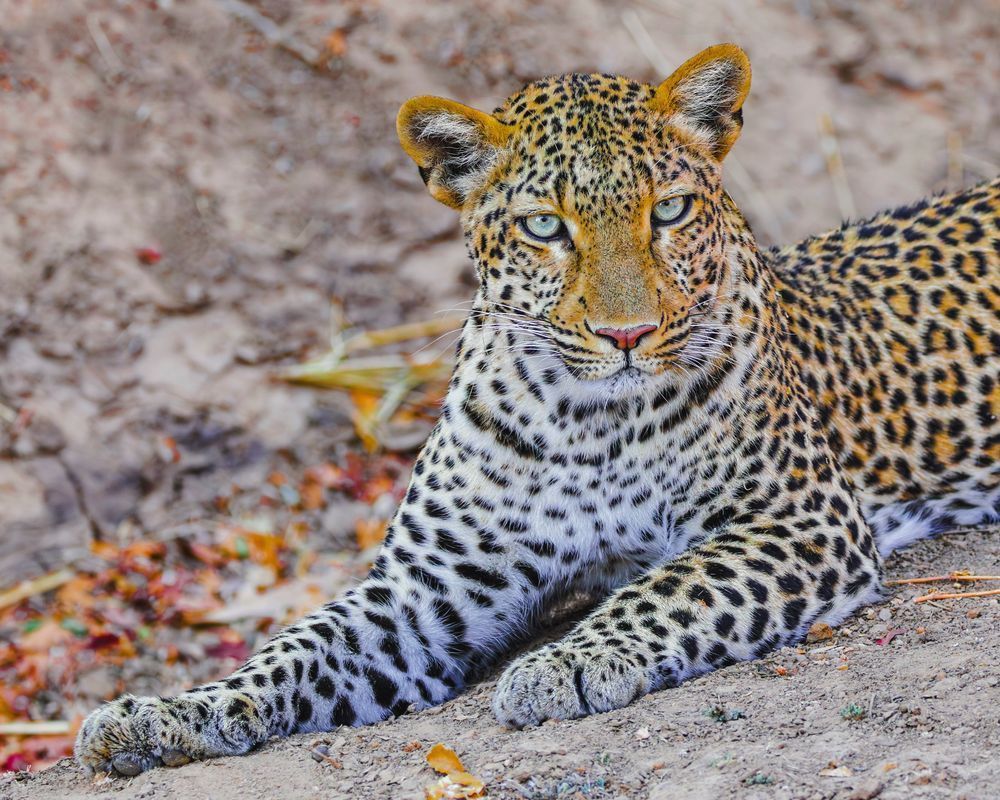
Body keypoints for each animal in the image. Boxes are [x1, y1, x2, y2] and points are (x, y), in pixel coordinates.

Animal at [75, 43, 999, 777]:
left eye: (669, 210)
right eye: (546, 228)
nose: (627, 334)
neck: (584, 417)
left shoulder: (799, 520)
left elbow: (670, 587)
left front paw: (568, 663)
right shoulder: (425, 585)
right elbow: (295, 648)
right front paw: (167, 711)